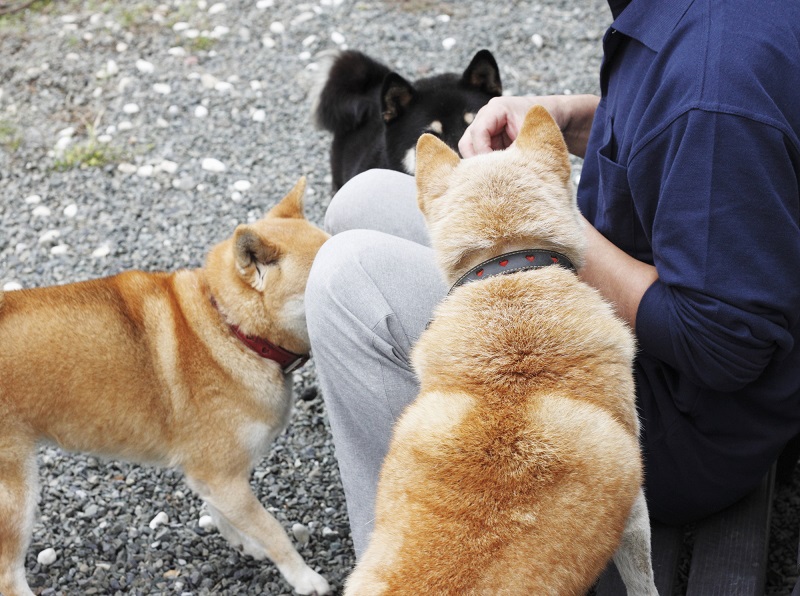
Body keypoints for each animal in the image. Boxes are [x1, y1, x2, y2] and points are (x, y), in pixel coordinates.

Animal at [0, 178, 332, 596]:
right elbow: (273, 531)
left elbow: (222, 512)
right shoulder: (222, 474)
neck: (231, 328)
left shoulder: (211, 476)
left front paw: (243, 540)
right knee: (8, 576)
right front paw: (304, 577)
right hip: (16, 495)